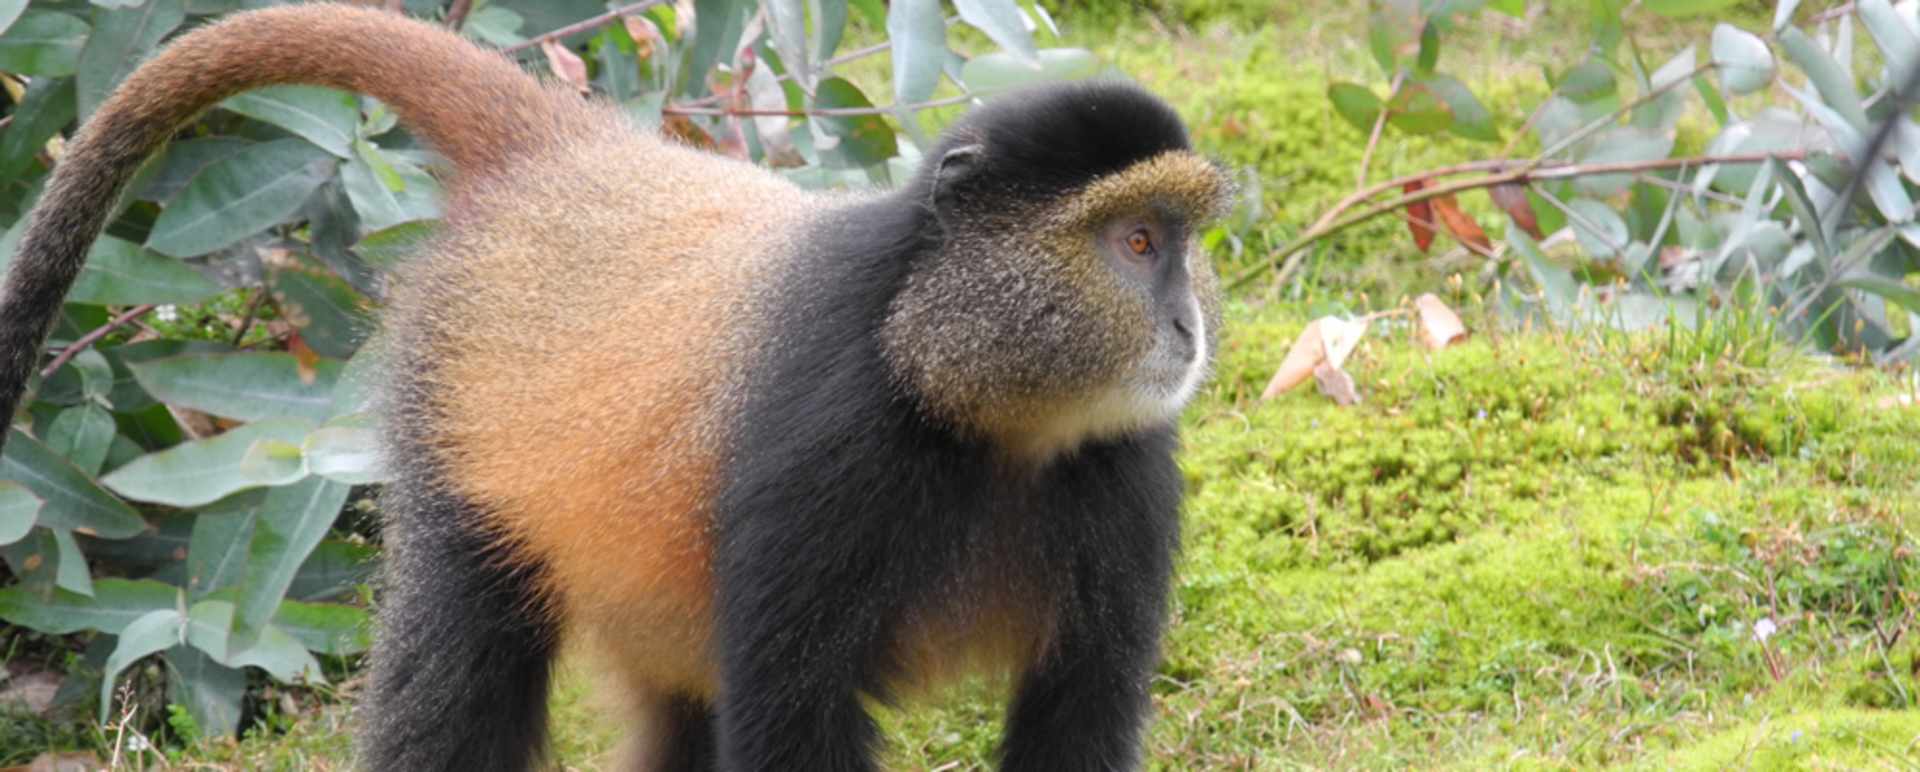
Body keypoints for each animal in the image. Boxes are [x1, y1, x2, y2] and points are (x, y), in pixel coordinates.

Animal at [0, 5, 1232, 771]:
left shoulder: (1128, 474)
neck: (974, 406)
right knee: (461, 663)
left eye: (1181, 244)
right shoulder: (829, 440)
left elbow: (1078, 714)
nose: (1187, 324)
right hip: (454, 419)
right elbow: (792, 719)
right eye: (1134, 243)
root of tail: (573, 160)